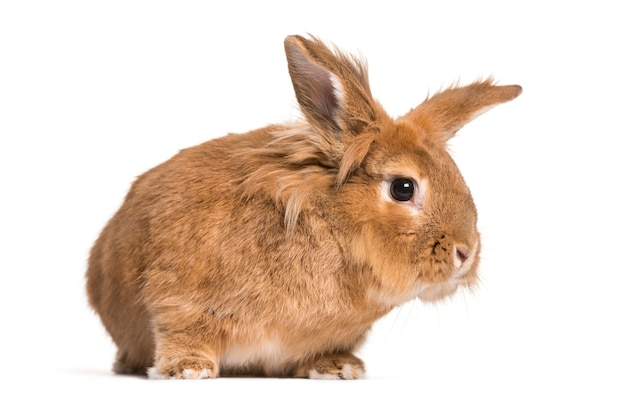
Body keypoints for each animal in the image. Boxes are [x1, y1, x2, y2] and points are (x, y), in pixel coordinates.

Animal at [85, 35, 520, 382]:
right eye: (403, 188)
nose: (466, 253)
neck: (331, 227)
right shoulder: (178, 297)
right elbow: (182, 328)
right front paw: (188, 370)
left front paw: (340, 368)